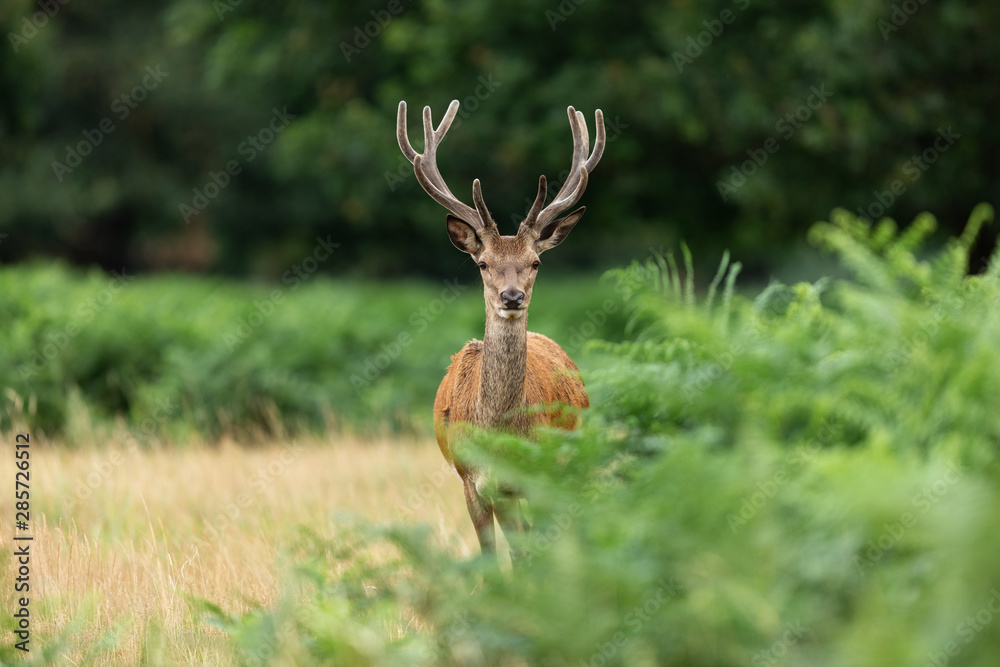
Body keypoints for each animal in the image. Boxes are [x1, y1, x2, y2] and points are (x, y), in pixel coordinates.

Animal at [397, 99, 605, 564]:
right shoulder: (471, 482)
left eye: (536, 262)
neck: (497, 437)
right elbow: (493, 557)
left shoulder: (535, 474)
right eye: (482, 263)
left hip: (571, 458)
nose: (512, 297)